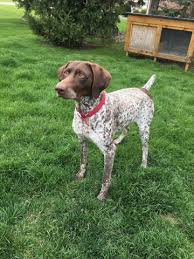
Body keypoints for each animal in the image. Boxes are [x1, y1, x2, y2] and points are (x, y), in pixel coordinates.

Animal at [55, 61, 156, 201]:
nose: (58, 88)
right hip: (123, 120)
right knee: (126, 129)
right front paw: (80, 176)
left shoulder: (109, 151)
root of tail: (143, 89)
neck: (86, 112)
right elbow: (83, 162)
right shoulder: (82, 140)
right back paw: (118, 140)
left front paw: (102, 196)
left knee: (145, 148)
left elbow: (106, 178)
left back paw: (143, 165)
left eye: (82, 75)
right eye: (66, 72)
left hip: (144, 129)